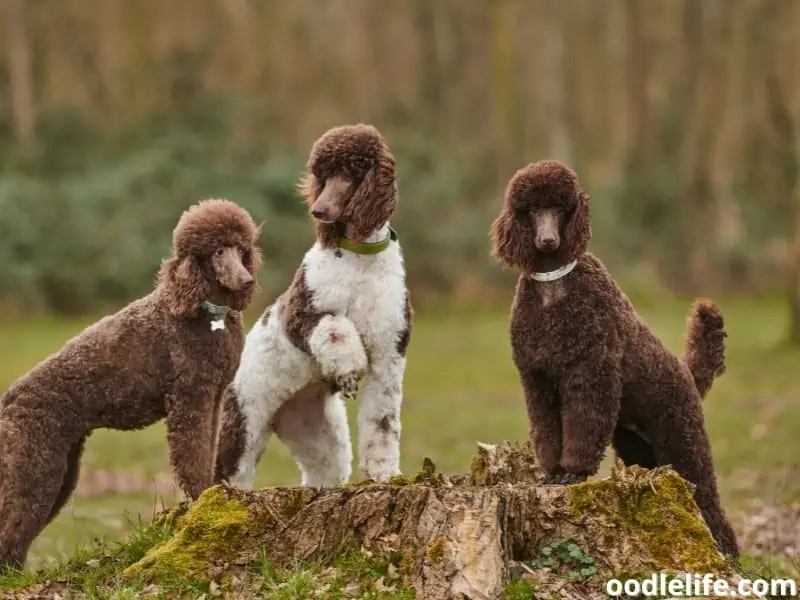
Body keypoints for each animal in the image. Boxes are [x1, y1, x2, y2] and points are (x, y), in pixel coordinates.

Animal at [216, 124, 412, 490]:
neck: (358, 260)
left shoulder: (389, 350)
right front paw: (349, 369)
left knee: (322, 472)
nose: (318, 210)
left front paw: (382, 473)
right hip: (243, 421)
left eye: (350, 172)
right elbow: (336, 329)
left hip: (317, 432)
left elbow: (382, 422)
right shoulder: (302, 314)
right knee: (227, 473)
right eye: (321, 174)